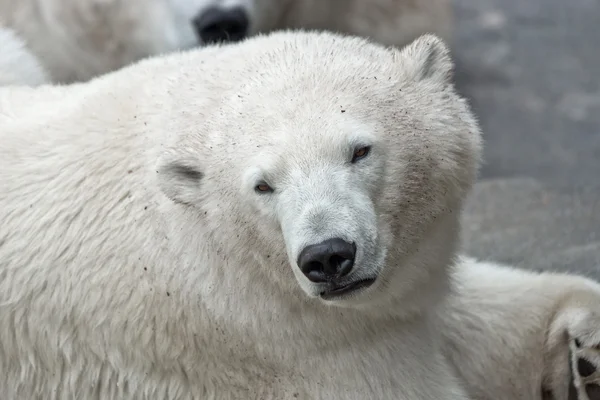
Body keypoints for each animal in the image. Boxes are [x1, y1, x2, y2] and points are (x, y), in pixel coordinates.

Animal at [1, 29, 600, 398]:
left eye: (359, 150)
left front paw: (584, 348)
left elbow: (465, 310)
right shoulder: (283, 346)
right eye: (263, 185)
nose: (328, 256)